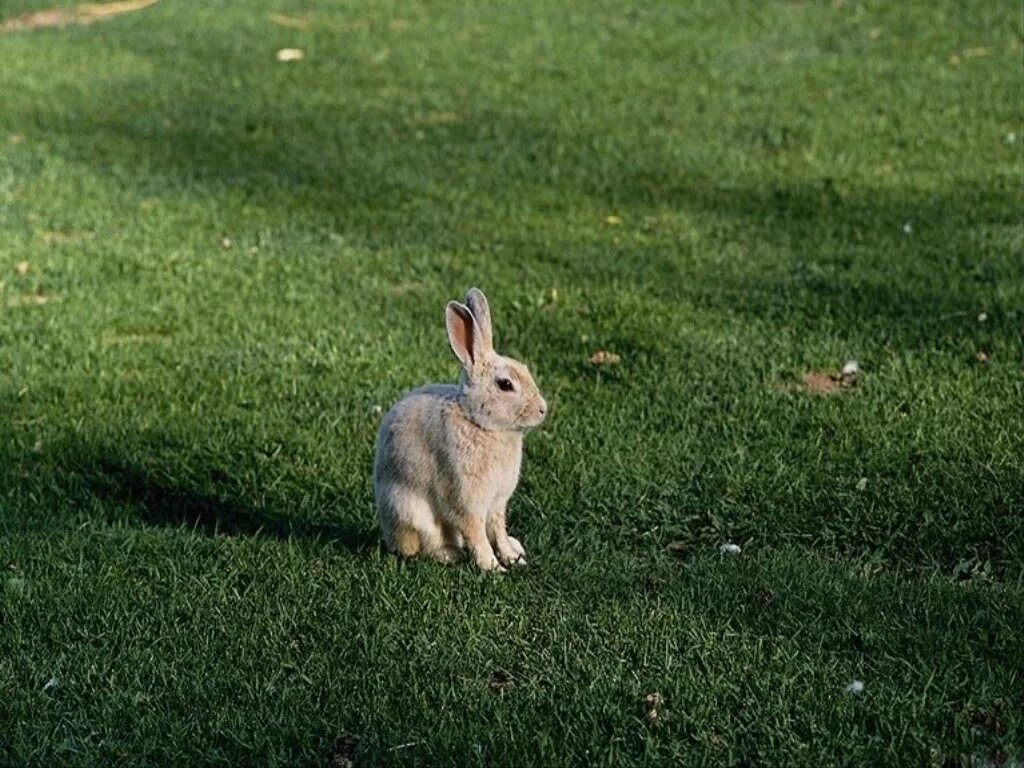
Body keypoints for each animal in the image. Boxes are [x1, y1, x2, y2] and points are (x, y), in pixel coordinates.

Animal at [374, 288, 548, 573]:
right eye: (505, 384)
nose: (543, 410)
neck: (479, 422)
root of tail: (390, 536)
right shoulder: (466, 501)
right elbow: (476, 535)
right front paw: (494, 568)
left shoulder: (497, 504)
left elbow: (498, 531)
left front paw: (513, 559)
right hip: (413, 514)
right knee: (427, 547)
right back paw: (451, 554)